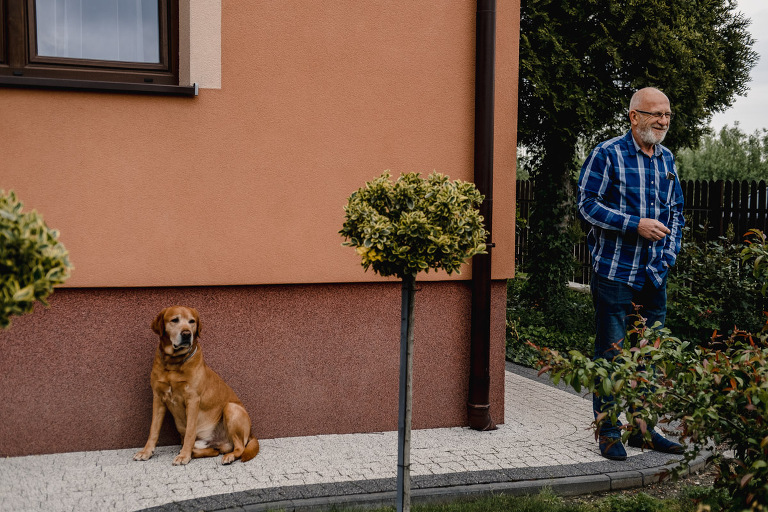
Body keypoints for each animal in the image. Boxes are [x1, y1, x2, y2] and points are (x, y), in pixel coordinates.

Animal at [134, 306, 260, 466]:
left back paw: (228, 456)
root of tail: (251, 433)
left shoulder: (193, 400)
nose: (187, 334)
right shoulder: (158, 398)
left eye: (192, 321)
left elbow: (190, 431)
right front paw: (146, 452)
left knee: (239, 448)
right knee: (214, 451)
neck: (174, 363)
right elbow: (153, 430)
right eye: (174, 320)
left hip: (231, 408)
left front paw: (184, 456)